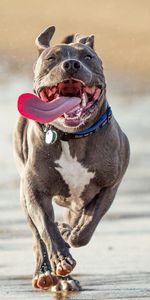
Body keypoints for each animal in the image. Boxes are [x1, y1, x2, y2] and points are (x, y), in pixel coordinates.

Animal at [13, 25, 129, 290]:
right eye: (51, 58)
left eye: (87, 57)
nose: (71, 64)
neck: (72, 137)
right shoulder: (35, 191)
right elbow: (46, 229)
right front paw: (61, 257)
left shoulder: (109, 186)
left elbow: (87, 226)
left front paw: (70, 234)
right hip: (24, 194)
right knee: (37, 236)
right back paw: (46, 273)